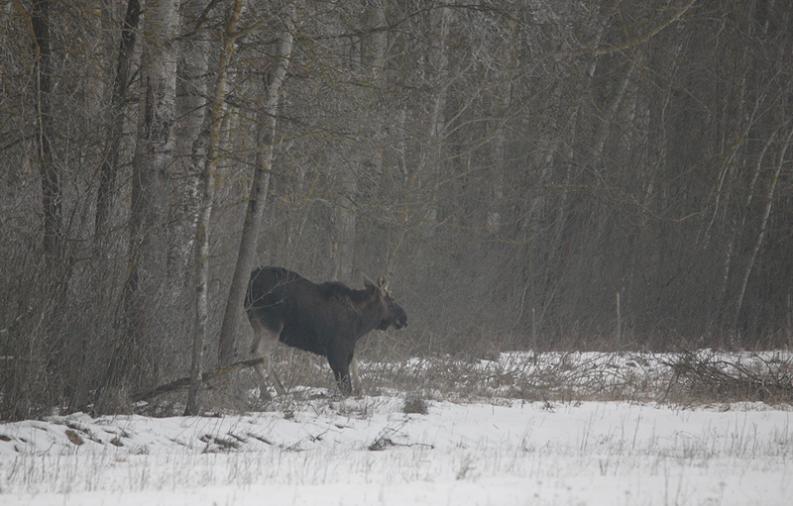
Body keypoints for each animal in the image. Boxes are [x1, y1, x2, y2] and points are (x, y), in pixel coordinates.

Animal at [243, 266, 406, 398]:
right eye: (391, 300)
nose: (405, 317)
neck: (361, 323)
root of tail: (252, 279)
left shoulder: (348, 347)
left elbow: (355, 364)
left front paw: (360, 391)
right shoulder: (336, 350)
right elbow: (346, 386)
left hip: (258, 325)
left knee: (252, 352)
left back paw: (266, 393)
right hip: (272, 325)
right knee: (261, 353)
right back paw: (279, 391)